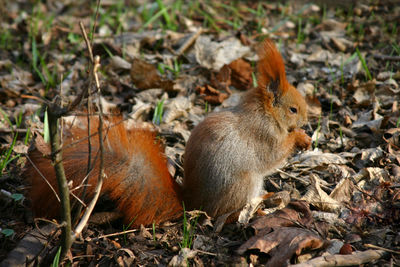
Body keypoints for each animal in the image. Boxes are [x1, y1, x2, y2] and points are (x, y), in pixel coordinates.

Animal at [24, 39, 312, 228]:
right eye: (293, 109)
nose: (308, 119)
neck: (265, 112)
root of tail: (193, 203)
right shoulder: (264, 135)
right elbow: (274, 156)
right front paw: (300, 138)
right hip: (243, 184)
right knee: (228, 214)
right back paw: (260, 206)